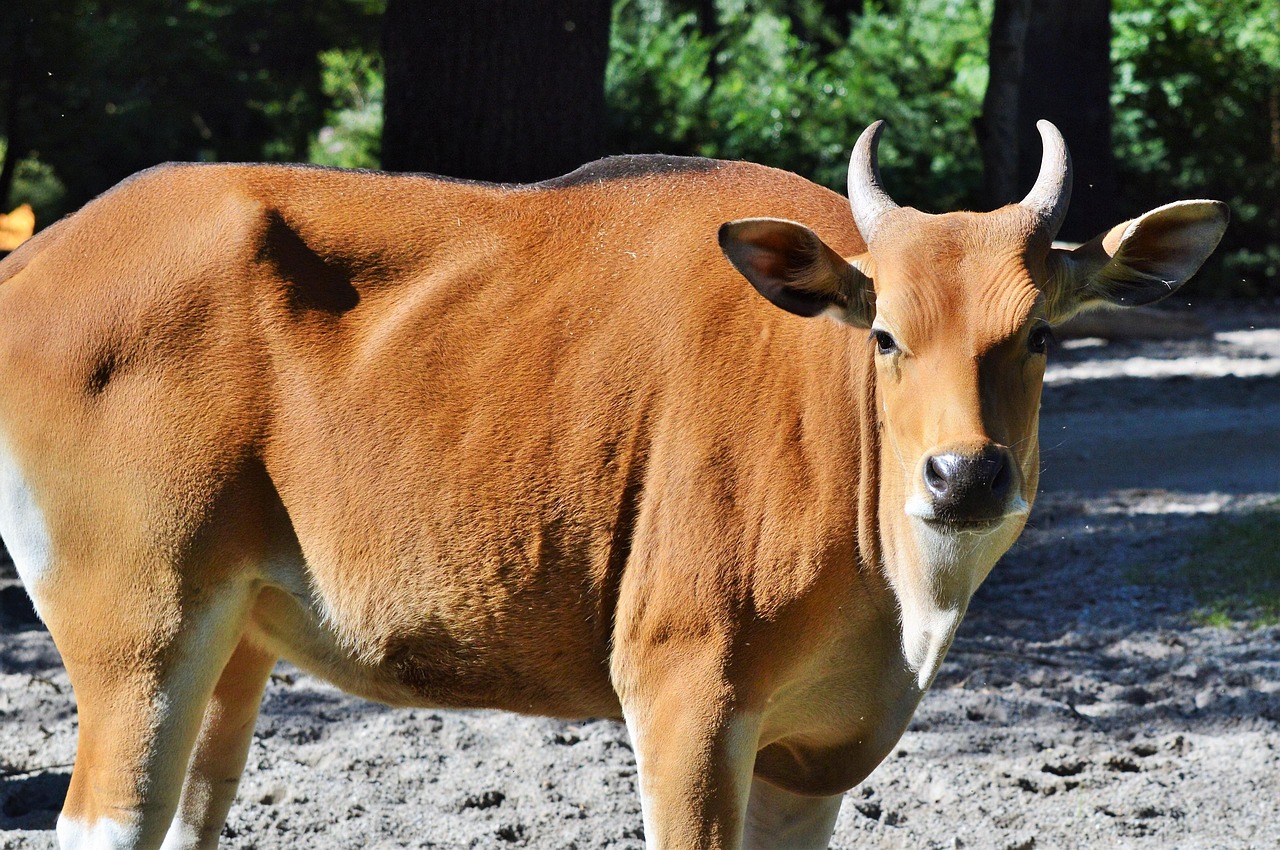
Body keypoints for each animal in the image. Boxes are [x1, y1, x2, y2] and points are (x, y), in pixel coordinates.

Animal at [0, 120, 1226, 850]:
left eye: (1040, 336)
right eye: (884, 334)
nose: (965, 472)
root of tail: (38, 257)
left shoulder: (817, 754)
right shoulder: (685, 694)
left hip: (232, 642)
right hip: (138, 634)